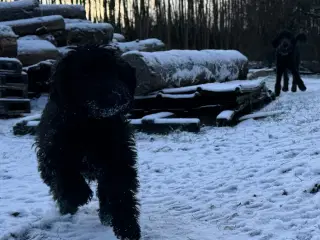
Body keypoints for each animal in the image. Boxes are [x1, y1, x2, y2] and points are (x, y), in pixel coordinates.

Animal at [34, 45, 141, 240]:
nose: (116, 97)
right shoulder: (52, 152)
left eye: (115, 71)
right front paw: (79, 195)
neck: (91, 125)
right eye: (85, 74)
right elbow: (65, 173)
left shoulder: (118, 159)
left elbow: (121, 192)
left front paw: (127, 227)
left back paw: (106, 214)